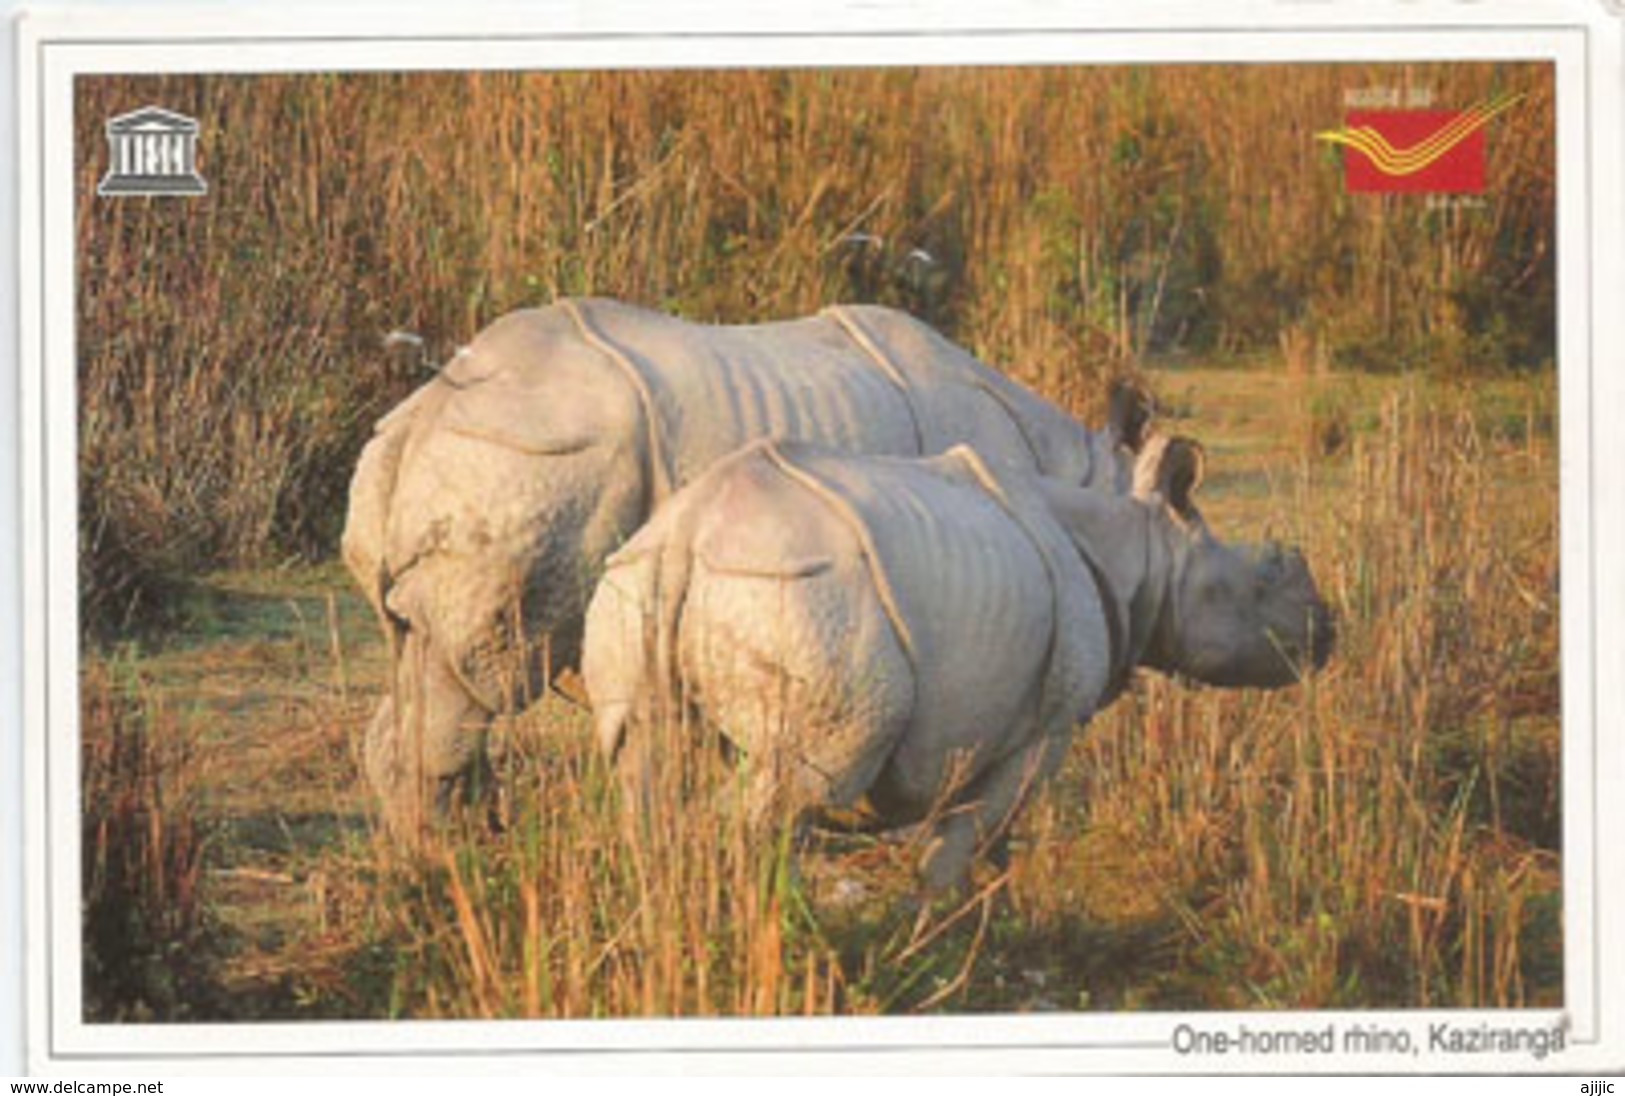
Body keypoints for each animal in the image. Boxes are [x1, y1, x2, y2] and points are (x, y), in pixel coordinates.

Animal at [342, 294, 1157, 832]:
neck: (1081, 473)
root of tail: (419, 419)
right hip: (529, 459)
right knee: (484, 674)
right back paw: (445, 858)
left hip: (479, 458)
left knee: (426, 656)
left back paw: (430, 861)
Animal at [581, 432, 1332, 884]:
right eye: (1265, 578)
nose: (1327, 634)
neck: (1142, 550)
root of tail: (688, 531)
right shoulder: (1045, 728)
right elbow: (962, 843)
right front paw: (934, 944)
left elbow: (988, 848)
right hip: (804, 599)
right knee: (808, 779)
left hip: (634, 583)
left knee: (643, 766)